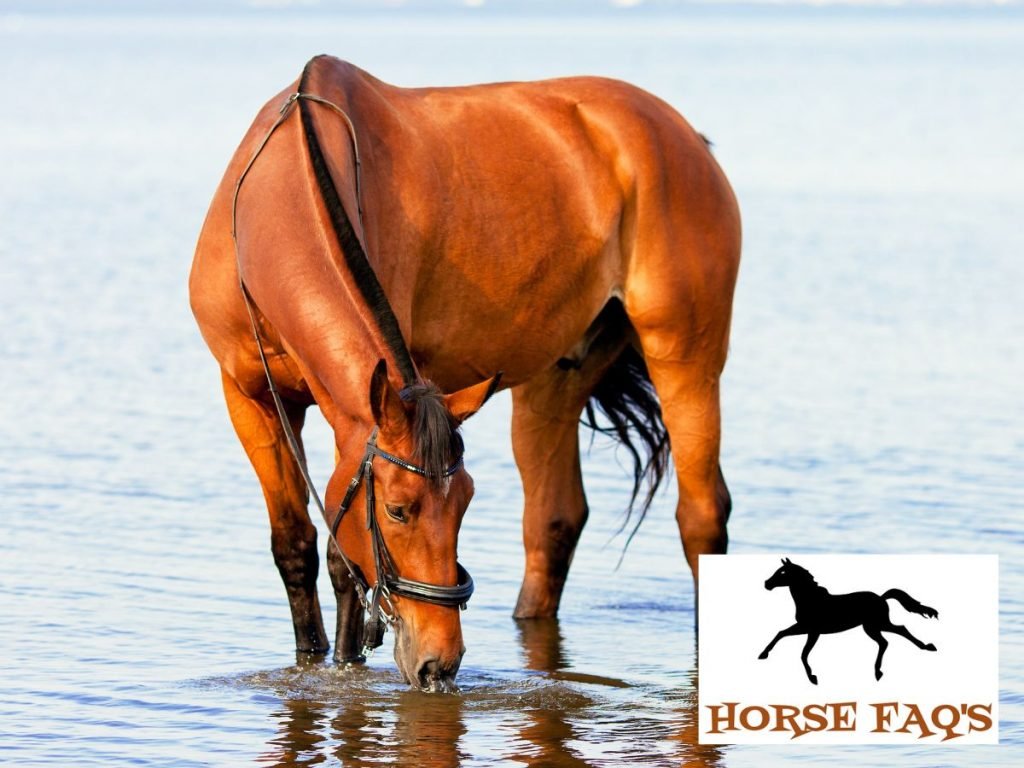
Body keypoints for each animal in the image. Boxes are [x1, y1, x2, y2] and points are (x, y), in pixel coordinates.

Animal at [189, 55, 740, 691]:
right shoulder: (248, 395)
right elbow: (296, 546)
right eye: (398, 509)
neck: (273, 206)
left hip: (687, 355)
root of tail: (684, 136)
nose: (440, 662)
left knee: (701, 516)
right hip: (554, 379)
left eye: (467, 503)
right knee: (554, 520)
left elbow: (340, 560)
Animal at [758, 559, 938, 684]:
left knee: (896, 633)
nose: (766, 584)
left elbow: (802, 654)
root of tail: (881, 597)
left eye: (782, 573)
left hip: (875, 625)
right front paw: (763, 654)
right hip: (873, 626)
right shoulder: (804, 628)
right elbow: (781, 633)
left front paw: (813, 677)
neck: (810, 599)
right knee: (891, 637)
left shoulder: (813, 631)